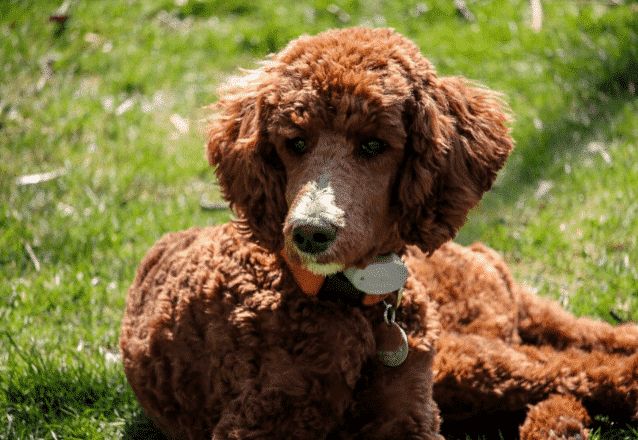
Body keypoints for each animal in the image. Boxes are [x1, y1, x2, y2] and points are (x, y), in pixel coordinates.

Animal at [120, 28, 638, 440]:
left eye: (373, 145)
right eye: (295, 143)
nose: (310, 232)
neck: (353, 308)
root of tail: (478, 251)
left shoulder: (409, 413)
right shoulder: (257, 423)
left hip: (465, 354)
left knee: (573, 362)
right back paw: (562, 423)